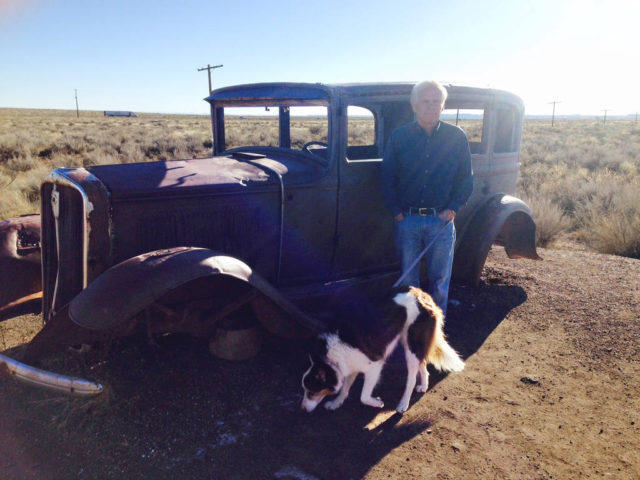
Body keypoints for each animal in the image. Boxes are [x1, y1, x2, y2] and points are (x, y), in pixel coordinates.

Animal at [302, 286, 462, 414]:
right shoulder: (350, 365)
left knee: (411, 379)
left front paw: (377, 403)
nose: (302, 409)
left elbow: (364, 396)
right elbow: (345, 387)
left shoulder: (375, 365)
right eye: (306, 390)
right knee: (422, 365)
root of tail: (421, 294)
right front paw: (336, 403)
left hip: (411, 346)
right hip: (411, 345)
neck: (331, 358)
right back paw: (423, 385)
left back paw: (403, 404)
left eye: (311, 392)